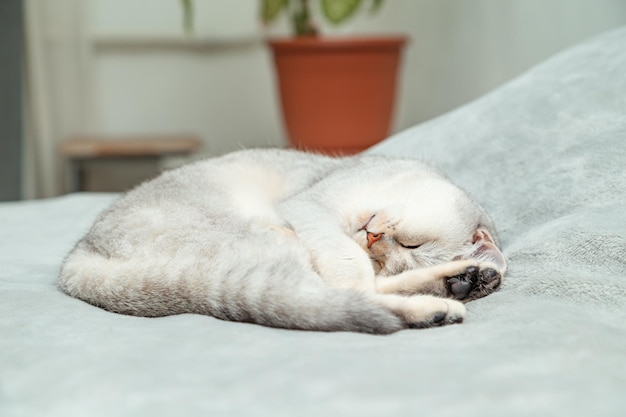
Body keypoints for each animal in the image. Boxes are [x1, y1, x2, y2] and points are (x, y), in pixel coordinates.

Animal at [58, 148, 504, 334]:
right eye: (412, 244)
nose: (373, 237)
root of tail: (78, 258)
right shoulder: (311, 208)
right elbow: (351, 268)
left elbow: (363, 275)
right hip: (274, 245)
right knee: (337, 298)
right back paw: (442, 301)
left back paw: (464, 282)